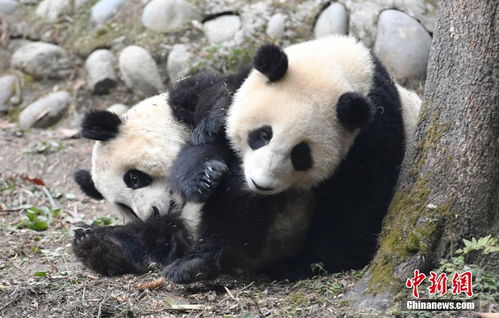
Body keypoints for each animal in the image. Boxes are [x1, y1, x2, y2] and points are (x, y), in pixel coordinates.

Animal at [172, 34, 422, 278]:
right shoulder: (237, 88)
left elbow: (356, 208)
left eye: (300, 155)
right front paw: (204, 176)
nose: (260, 184)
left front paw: (298, 265)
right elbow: (211, 133)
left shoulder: (373, 136)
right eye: (263, 134)